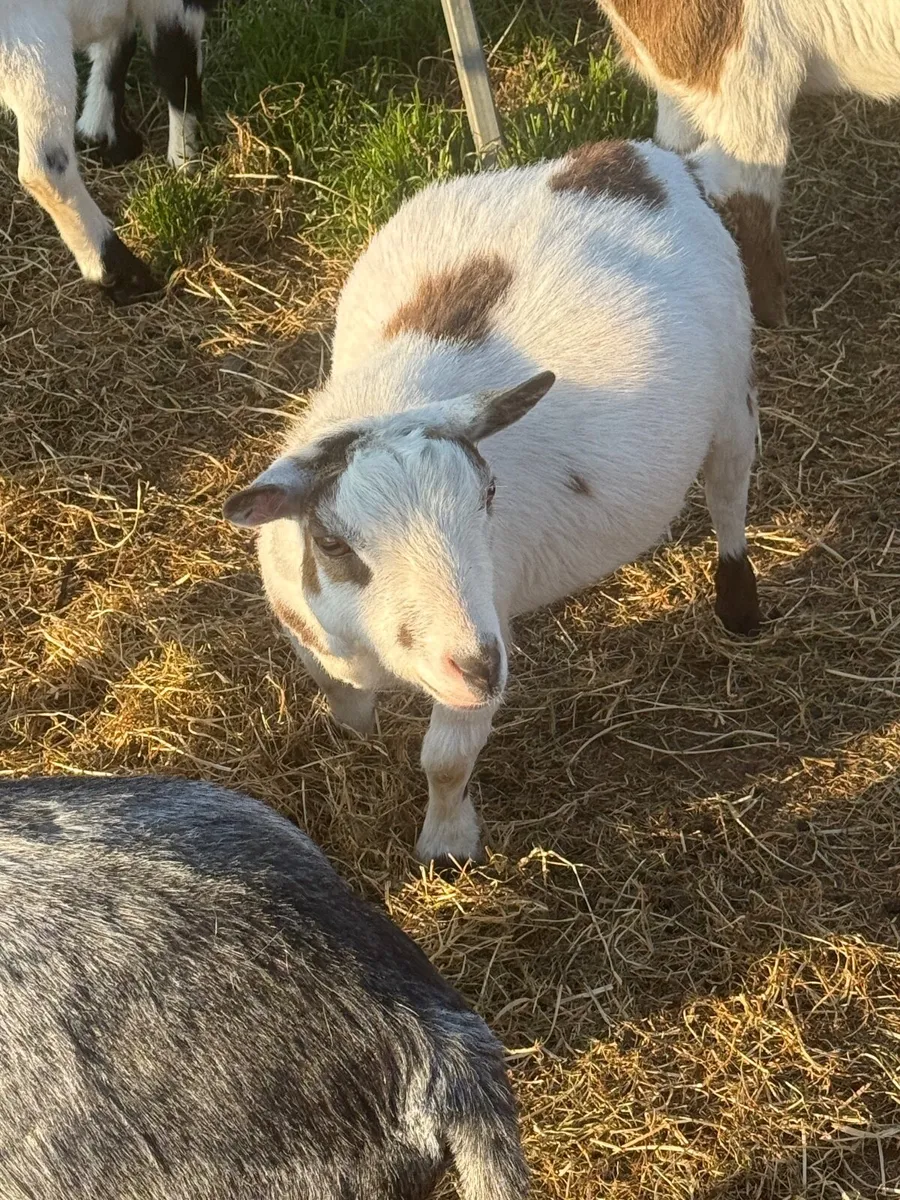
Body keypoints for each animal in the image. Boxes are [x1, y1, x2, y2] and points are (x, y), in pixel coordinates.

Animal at [0, 0, 213, 304]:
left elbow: (118, 42)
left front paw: (102, 134)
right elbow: (175, 62)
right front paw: (187, 162)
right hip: (29, 39)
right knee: (45, 167)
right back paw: (122, 275)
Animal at [224, 139, 761, 867]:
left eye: (489, 495)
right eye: (331, 542)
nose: (478, 669)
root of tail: (638, 157)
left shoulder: (484, 628)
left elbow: (446, 760)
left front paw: (446, 846)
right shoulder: (315, 637)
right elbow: (342, 700)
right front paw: (359, 744)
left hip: (733, 385)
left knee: (730, 489)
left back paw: (739, 604)